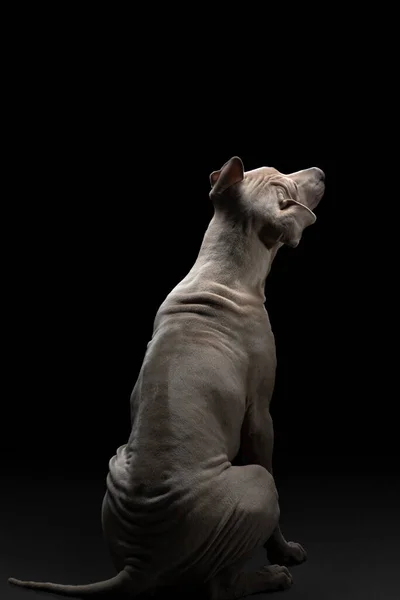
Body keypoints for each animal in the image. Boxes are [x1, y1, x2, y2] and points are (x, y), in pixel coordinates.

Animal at [8, 157, 324, 596]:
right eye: (289, 188)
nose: (321, 172)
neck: (221, 272)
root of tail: (139, 565)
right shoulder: (261, 414)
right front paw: (283, 551)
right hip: (257, 486)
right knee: (221, 585)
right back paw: (270, 575)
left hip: (116, 465)